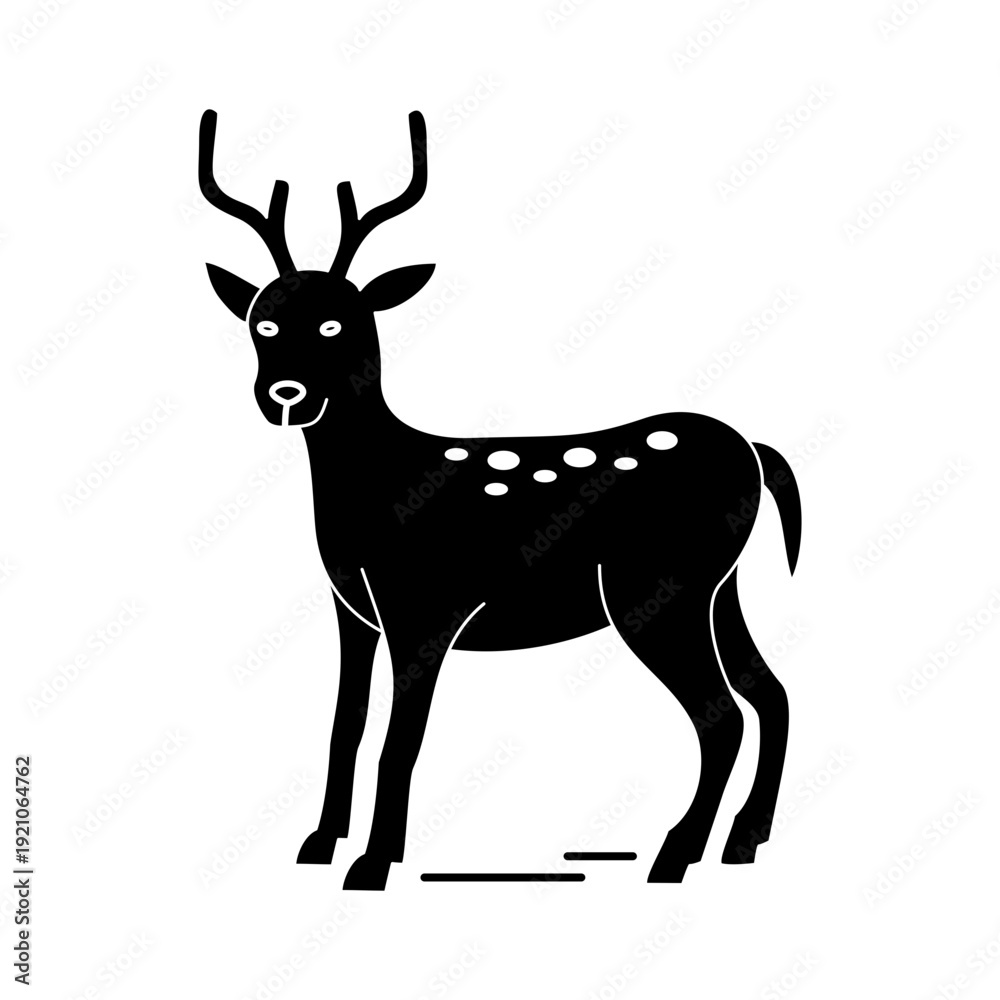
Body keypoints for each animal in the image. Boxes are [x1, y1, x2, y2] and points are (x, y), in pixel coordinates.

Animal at [198, 108, 802, 891]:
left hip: (655, 586)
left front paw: (374, 861)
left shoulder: (425, 605)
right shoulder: (352, 608)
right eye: (262, 322)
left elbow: (401, 739)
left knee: (721, 713)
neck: (375, 489)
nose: (285, 395)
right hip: (715, 585)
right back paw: (742, 840)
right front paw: (320, 842)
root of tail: (754, 452)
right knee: (770, 692)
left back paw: (674, 855)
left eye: (339, 323)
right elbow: (344, 723)